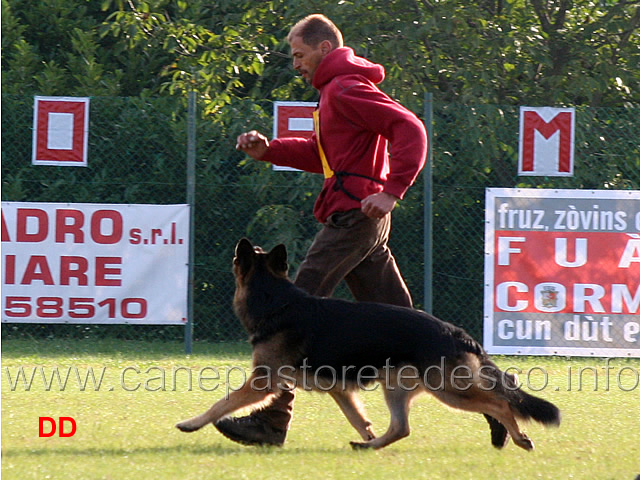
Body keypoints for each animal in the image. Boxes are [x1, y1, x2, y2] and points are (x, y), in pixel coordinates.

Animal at [176, 239, 560, 450]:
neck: (276, 301)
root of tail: (457, 332)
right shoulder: (340, 391)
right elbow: (359, 418)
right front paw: (366, 434)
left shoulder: (263, 381)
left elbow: (221, 403)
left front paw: (191, 423)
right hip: (399, 389)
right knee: (401, 427)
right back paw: (369, 446)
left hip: (449, 390)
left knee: (501, 404)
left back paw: (518, 437)